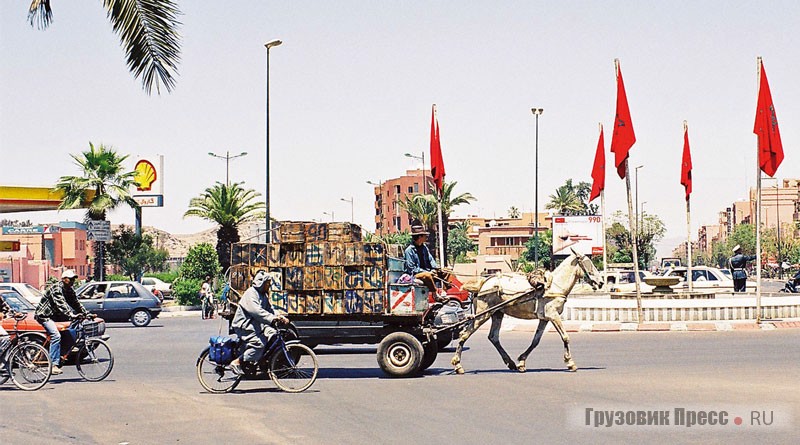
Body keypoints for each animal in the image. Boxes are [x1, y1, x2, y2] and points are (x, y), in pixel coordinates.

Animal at [454, 251, 604, 372]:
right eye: (588, 263)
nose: (601, 282)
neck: (553, 285)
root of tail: (482, 285)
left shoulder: (544, 318)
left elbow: (535, 341)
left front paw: (521, 361)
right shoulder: (553, 315)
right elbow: (565, 337)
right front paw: (570, 363)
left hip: (497, 313)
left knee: (493, 337)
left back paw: (510, 363)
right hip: (483, 314)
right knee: (464, 334)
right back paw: (457, 365)